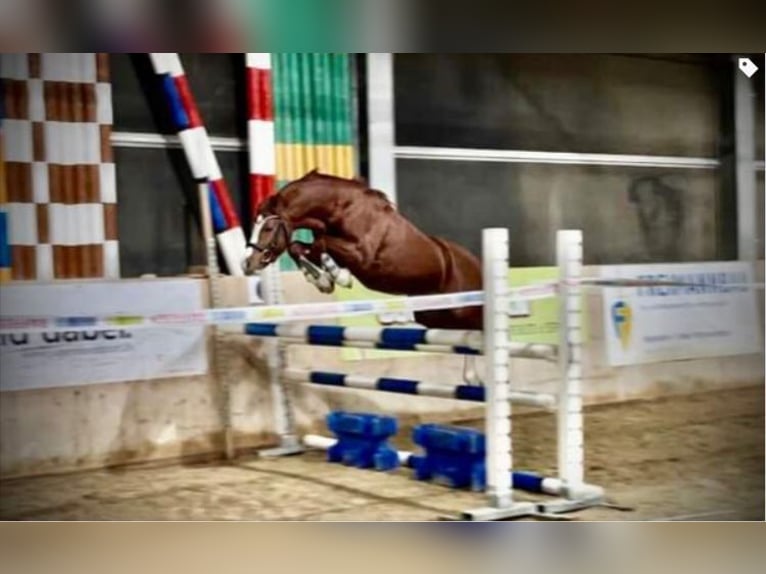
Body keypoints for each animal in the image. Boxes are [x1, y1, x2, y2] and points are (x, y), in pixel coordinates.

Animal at [246, 170, 484, 332]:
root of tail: (478, 264)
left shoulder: (362, 256)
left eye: (267, 228)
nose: (247, 263)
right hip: (436, 315)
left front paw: (338, 276)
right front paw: (323, 281)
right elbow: (298, 246)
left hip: (465, 313)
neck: (343, 208)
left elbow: (322, 243)